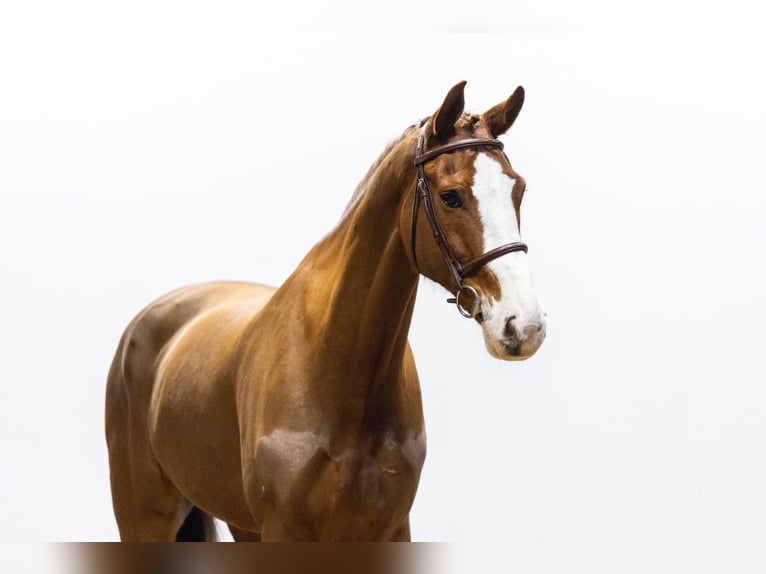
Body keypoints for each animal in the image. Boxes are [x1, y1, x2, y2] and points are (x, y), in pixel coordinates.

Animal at [105, 80, 547, 542]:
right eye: (450, 196)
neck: (339, 370)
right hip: (144, 516)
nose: (524, 325)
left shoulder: (392, 528)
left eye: (518, 190)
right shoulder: (284, 531)